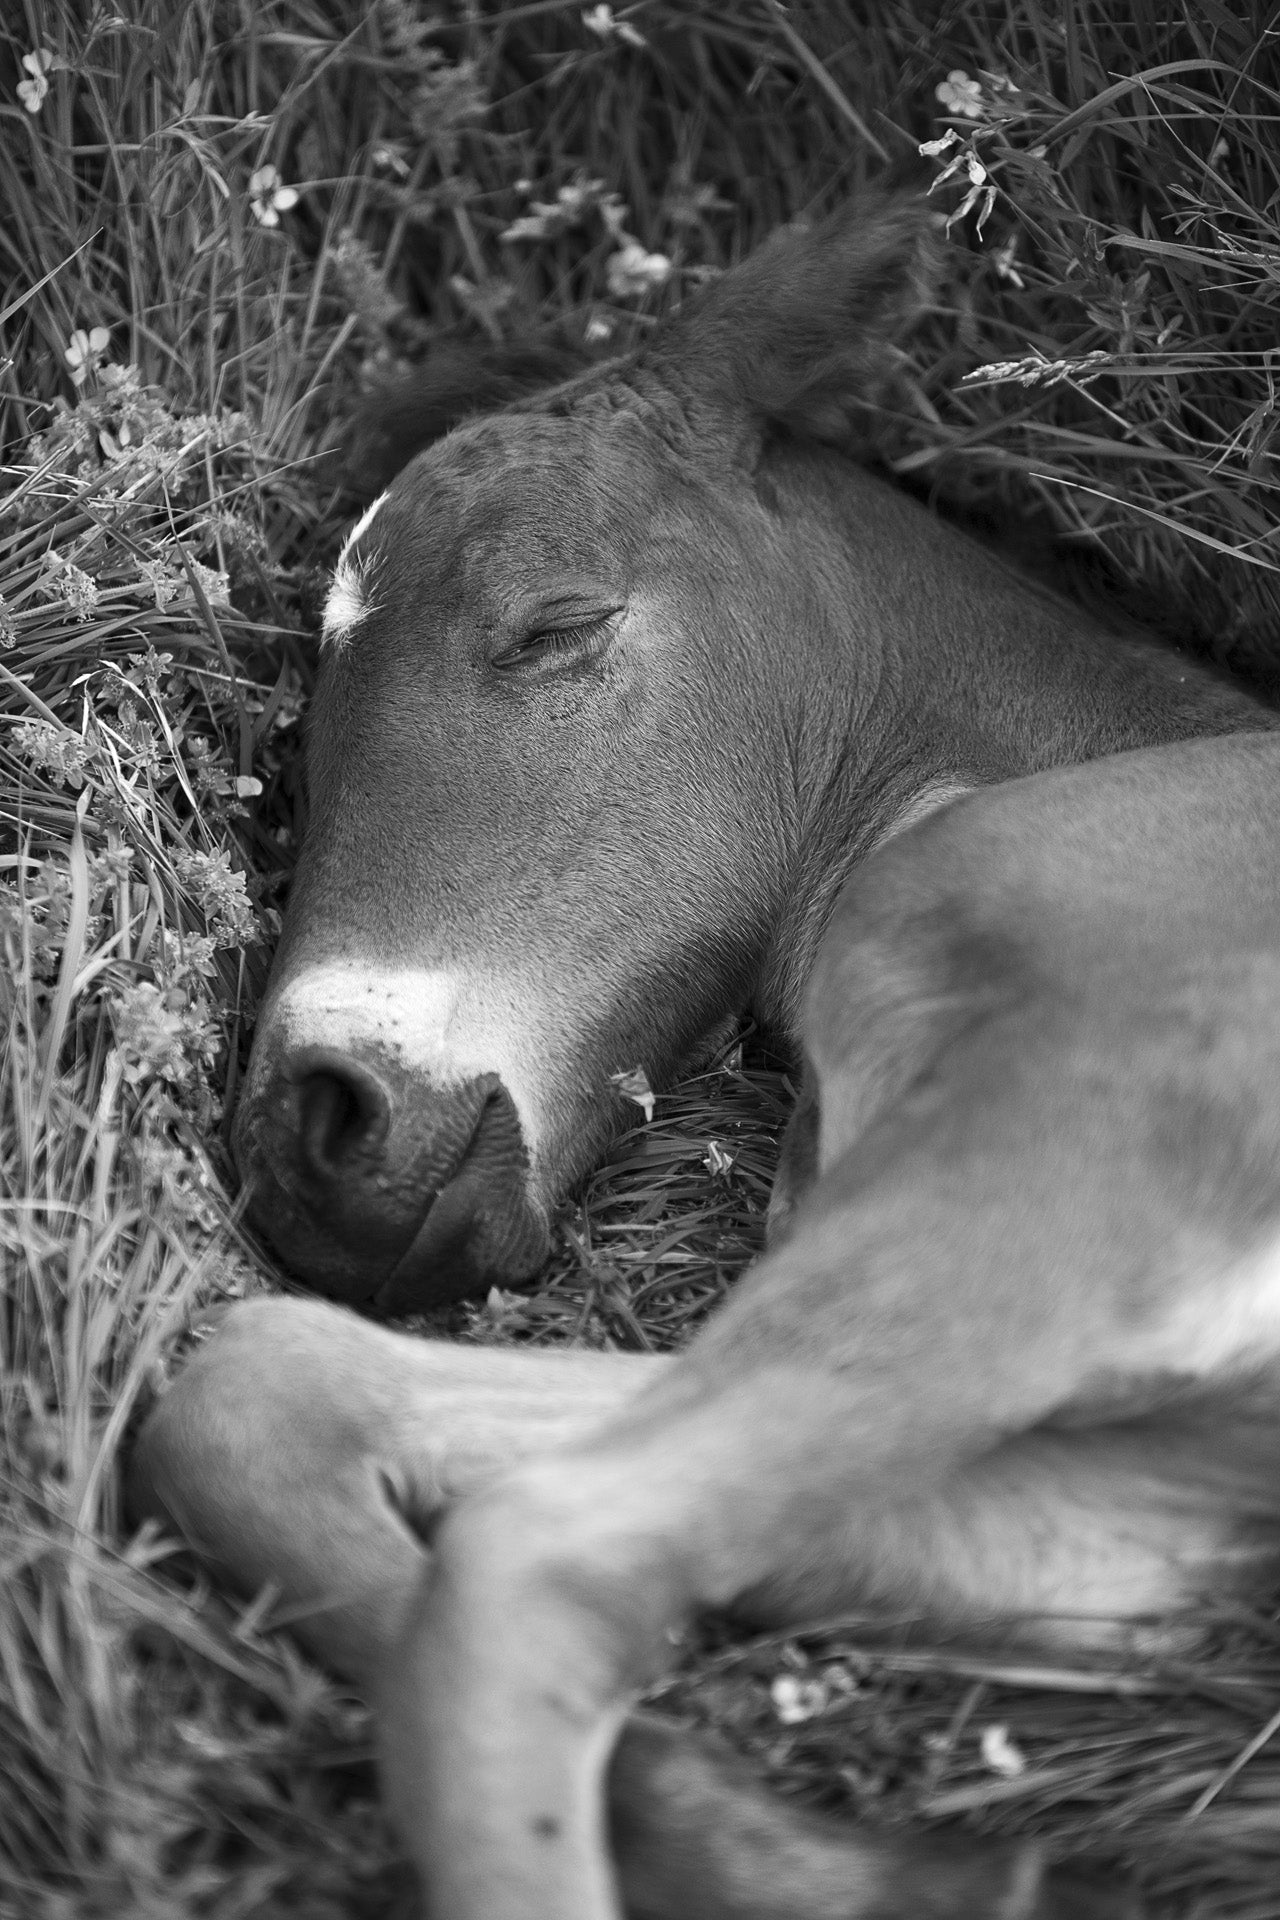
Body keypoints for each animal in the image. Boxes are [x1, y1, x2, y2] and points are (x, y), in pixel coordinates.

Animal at [132, 190, 1280, 1919]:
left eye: (555, 625)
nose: (315, 1128)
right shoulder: (1128, 1523)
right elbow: (266, 1392)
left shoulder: (1072, 1127)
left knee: (537, 1561)